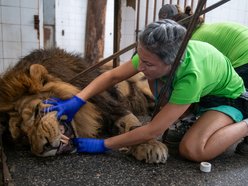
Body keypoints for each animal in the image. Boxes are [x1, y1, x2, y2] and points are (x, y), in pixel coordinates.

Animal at [0, 47, 169, 163]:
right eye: (24, 138)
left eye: (36, 111)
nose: (43, 148)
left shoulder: (111, 106)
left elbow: (133, 125)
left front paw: (150, 145)